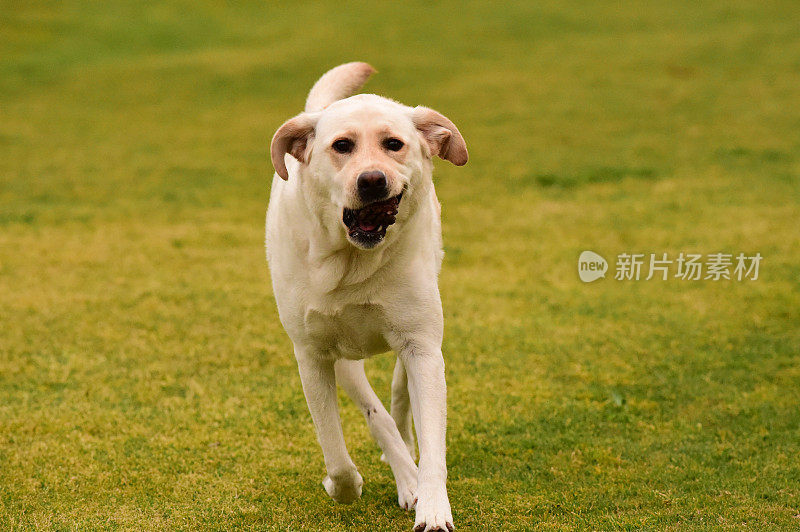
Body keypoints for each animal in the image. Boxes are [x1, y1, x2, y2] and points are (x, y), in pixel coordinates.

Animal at [268, 63, 468, 532]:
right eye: (342, 145)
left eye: (393, 144)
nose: (373, 180)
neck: (352, 263)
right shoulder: (313, 354)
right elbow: (335, 450)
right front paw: (345, 486)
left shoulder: (422, 346)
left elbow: (433, 446)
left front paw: (433, 507)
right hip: (345, 362)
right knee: (377, 415)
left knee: (399, 395)